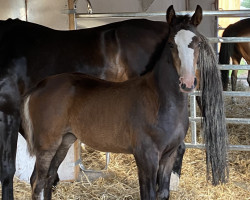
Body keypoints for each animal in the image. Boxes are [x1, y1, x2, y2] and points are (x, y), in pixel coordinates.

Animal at [22, 5, 229, 200]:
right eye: (171, 43)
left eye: (198, 43)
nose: (187, 83)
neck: (160, 100)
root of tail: (39, 86)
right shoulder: (146, 157)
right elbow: (148, 194)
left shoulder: (168, 156)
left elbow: (163, 193)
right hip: (47, 145)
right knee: (37, 182)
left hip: (64, 142)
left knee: (48, 178)